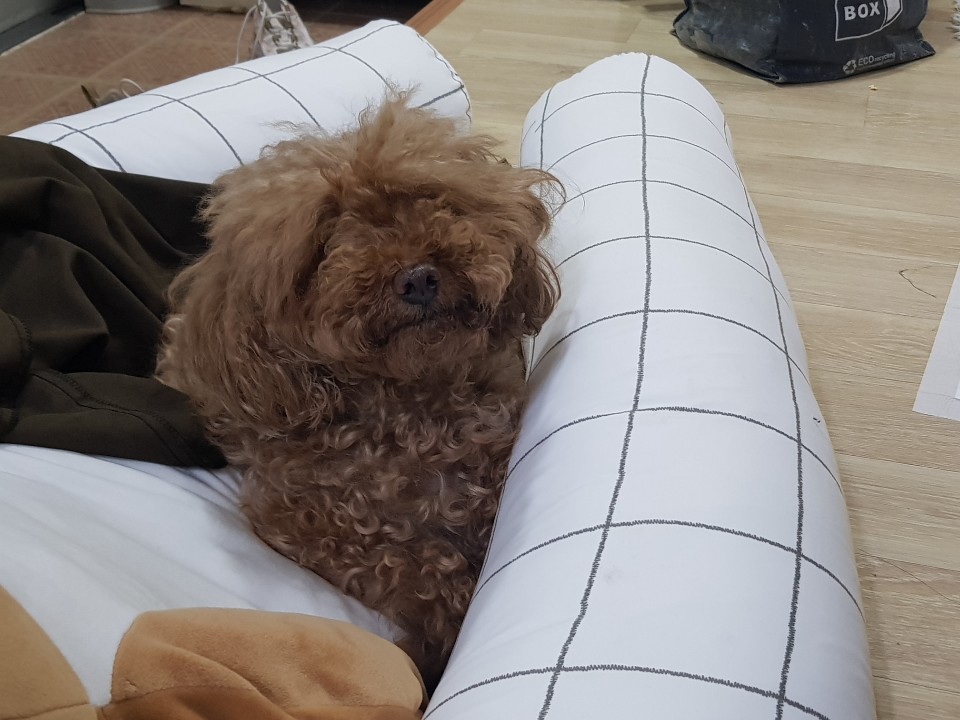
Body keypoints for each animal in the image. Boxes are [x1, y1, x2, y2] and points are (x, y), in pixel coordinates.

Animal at [156, 95, 559, 690]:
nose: (418, 277)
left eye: (429, 201)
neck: (411, 410)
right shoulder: (303, 525)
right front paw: (450, 629)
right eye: (324, 245)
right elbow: (411, 566)